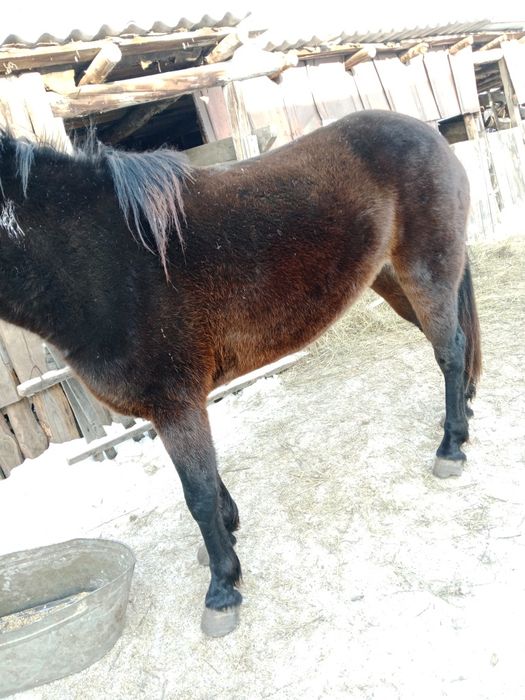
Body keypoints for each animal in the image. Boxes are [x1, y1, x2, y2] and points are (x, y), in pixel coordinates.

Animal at [0, 109, 481, 637]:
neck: (98, 258)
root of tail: (427, 131)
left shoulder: (176, 402)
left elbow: (198, 493)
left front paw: (222, 589)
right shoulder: (175, 407)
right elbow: (207, 481)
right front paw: (226, 537)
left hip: (425, 269)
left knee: (449, 351)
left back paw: (451, 446)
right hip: (391, 277)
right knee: (455, 343)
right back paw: (465, 412)